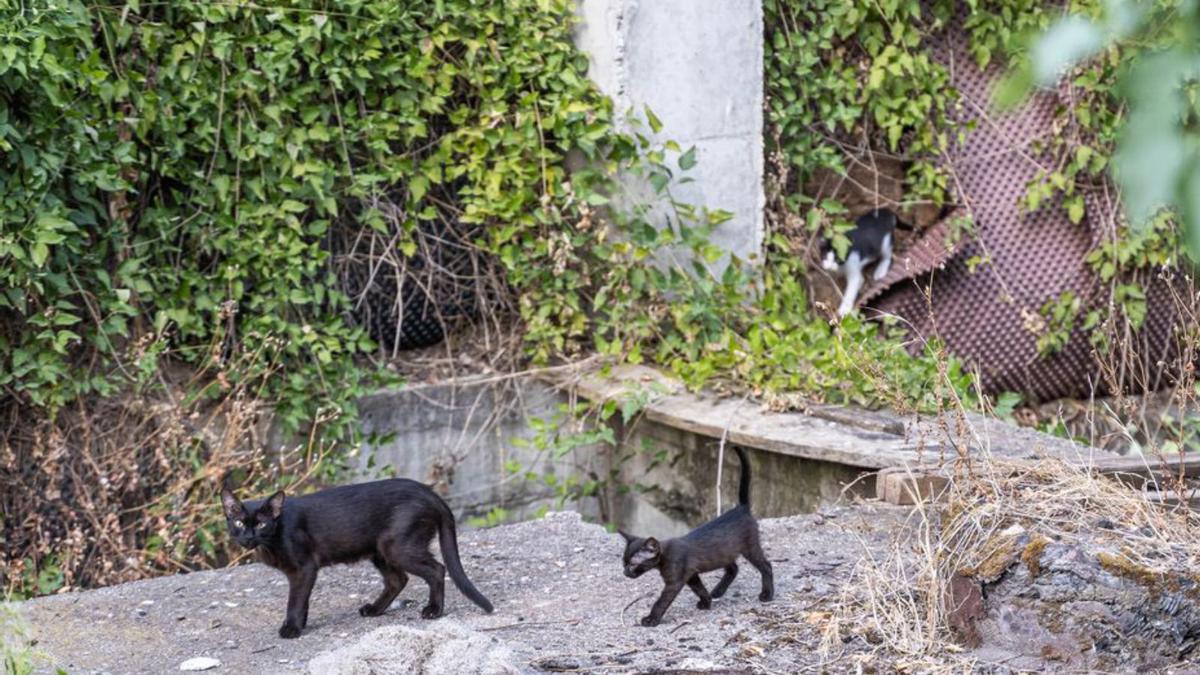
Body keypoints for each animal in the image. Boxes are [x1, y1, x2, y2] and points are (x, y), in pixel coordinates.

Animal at [220, 473, 492, 634]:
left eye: (262, 524)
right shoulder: (302, 573)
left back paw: (434, 610)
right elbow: (302, 599)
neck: (271, 540)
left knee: (436, 569)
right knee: (398, 579)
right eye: (240, 523)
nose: (248, 537)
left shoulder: (304, 568)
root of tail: (430, 492)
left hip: (397, 547)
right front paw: (301, 624)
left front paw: (292, 628)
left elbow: (295, 600)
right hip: (380, 550)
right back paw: (374, 610)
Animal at [619, 446, 777, 624]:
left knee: (766, 566)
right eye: (624, 563)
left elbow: (661, 601)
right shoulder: (691, 575)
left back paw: (767, 595)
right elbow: (699, 589)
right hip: (723, 553)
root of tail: (741, 508)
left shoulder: (675, 581)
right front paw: (706, 602)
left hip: (749, 547)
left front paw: (651, 619)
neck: (665, 555)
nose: (625, 573)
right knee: (733, 568)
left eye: (633, 564)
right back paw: (717, 591)